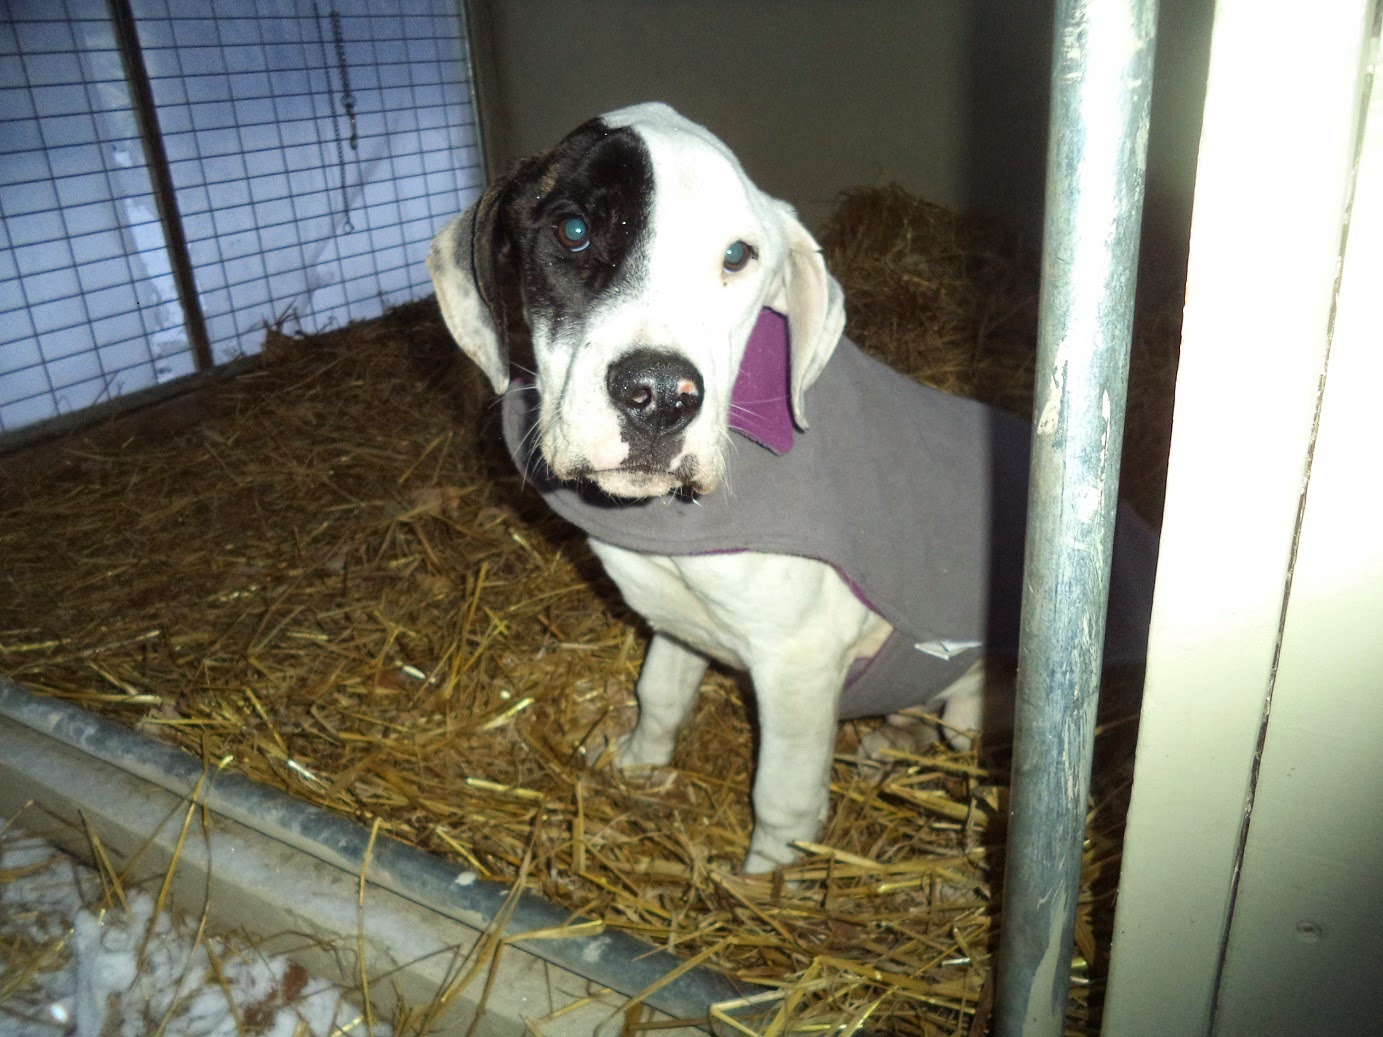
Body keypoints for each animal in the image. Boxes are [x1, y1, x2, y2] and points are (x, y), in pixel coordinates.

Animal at [428, 102, 1157, 874]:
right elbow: (658, 694)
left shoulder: (799, 663)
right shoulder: (677, 616)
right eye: (572, 230)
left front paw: (764, 883)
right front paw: (636, 764)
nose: (660, 397)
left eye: (736, 256)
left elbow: (783, 797)